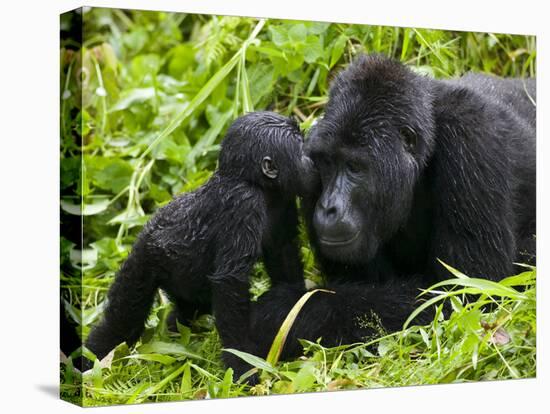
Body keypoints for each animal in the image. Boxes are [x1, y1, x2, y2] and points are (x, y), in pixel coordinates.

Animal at [87, 111, 320, 380]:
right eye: (302, 151)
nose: (314, 163)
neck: (253, 181)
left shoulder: (283, 197)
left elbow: (283, 252)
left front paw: (293, 304)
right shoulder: (243, 203)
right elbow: (230, 282)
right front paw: (241, 363)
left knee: (186, 310)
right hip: (142, 261)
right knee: (122, 322)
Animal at [252, 54, 536, 360]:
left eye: (354, 167)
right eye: (326, 163)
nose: (328, 207)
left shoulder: (473, 139)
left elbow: (465, 293)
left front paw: (283, 312)